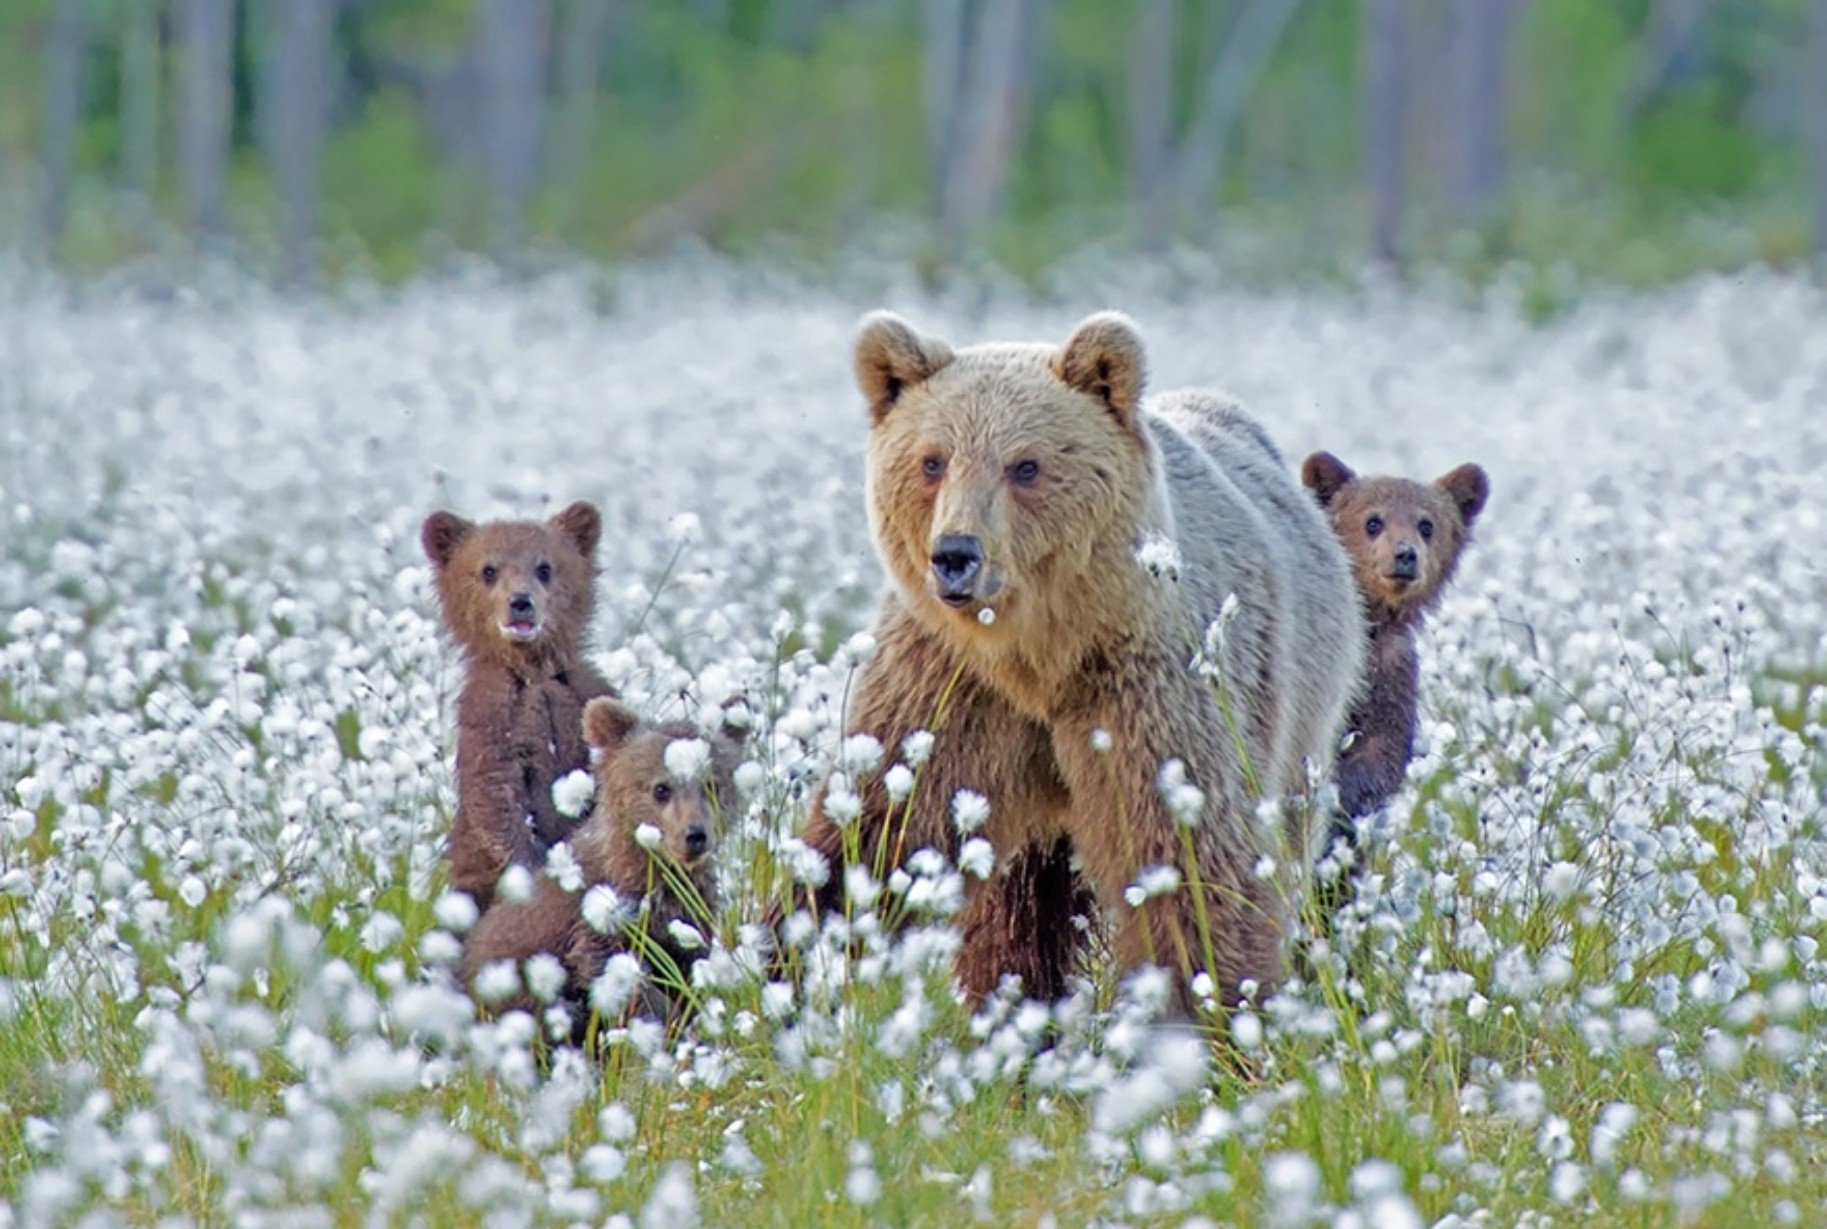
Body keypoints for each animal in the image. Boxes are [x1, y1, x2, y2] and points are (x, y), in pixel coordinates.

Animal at [418, 496, 613, 909]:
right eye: (488, 570)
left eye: (544, 567)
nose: (520, 602)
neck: (534, 672)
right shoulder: (493, 722)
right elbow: (496, 802)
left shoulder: (581, 699)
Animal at [453, 693, 745, 1029]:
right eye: (661, 788)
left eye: (712, 785)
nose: (695, 835)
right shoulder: (597, 917)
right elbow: (615, 972)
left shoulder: (688, 914)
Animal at [792, 312, 1366, 1008]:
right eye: (933, 460)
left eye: (1025, 465)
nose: (956, 555)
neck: (1040, 655)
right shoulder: (948, 683)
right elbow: (878, 825)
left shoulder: (1148, 689)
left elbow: (1192, 860)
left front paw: (1211, 1004)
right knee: (1018, 909)